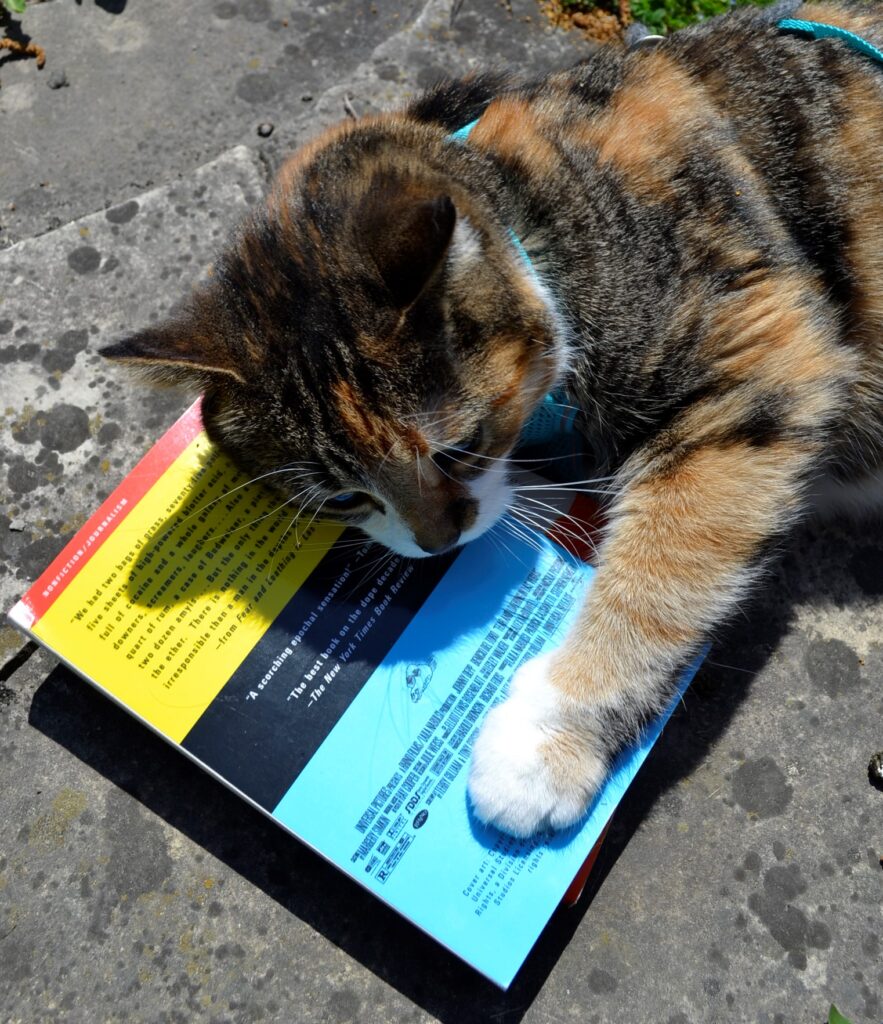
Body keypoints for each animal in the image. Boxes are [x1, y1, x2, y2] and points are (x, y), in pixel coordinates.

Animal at [103, 0, 883, 835]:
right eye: (343, 496)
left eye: (460, 447)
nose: (436, 543)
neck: (531, 214)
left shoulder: (765, 354)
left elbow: (663, 569)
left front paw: (543, 745)